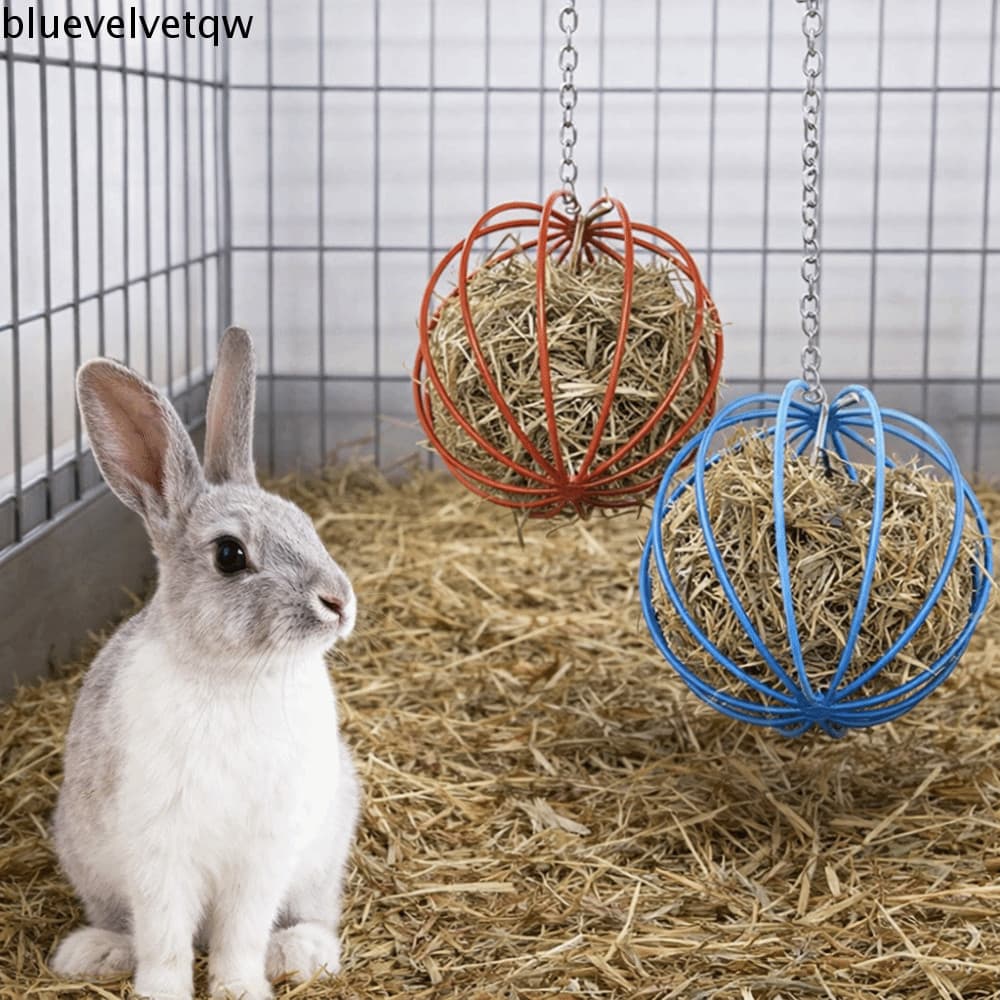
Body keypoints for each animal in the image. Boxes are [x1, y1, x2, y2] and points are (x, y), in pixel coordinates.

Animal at [49, 326, 360, 1000]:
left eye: (304, 521)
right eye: (229, 555)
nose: (339, 602)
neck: (235, 675)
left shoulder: (265, 851)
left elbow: (239, 933)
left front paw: (240, 988)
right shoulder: (159, 851)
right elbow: (164, 940)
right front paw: (163, 992)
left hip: (322, 854)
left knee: (312, 915)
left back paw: (300, 954)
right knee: (128, 926)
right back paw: (94, 952)